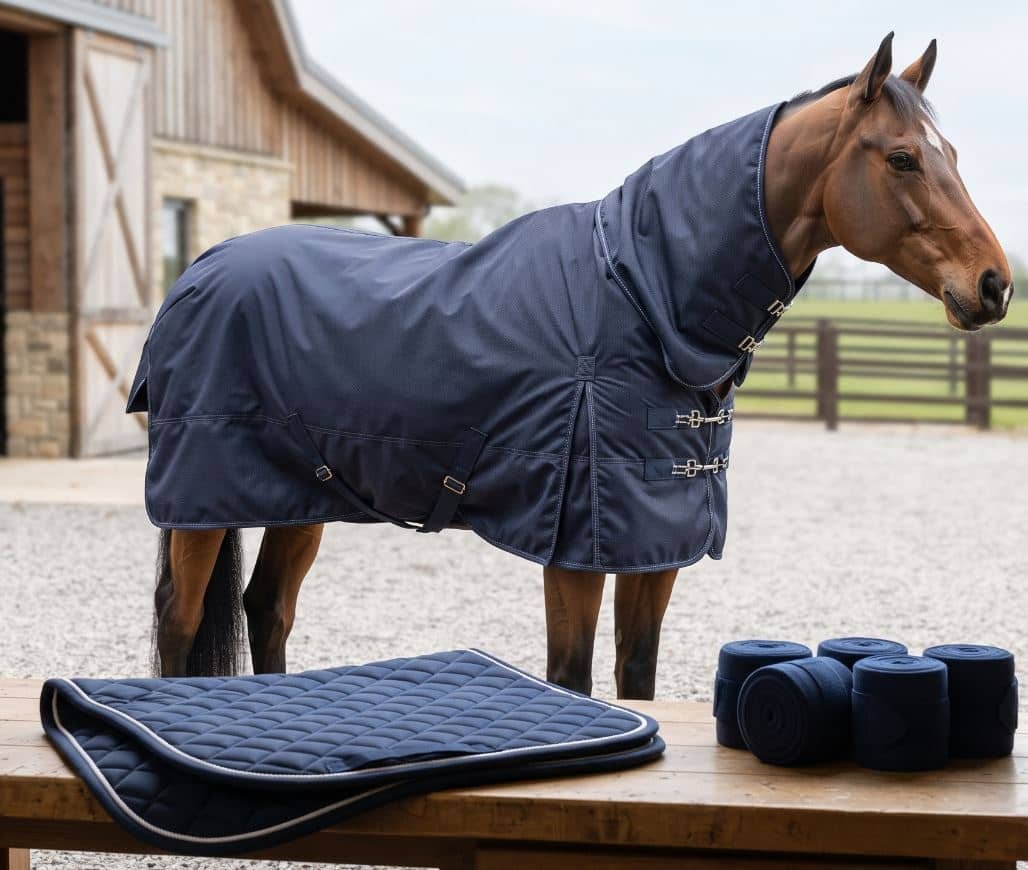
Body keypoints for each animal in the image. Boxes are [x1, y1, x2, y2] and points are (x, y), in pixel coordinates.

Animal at [144, 34, 1012, 697]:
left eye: (951, 153)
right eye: (902, 159)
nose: (995, 285)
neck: (641, 295)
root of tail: (200, 268)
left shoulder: (653, 549)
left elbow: (638, 677)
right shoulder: (575, 550)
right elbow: (573, 678)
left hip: (300, 497)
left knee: (267, 608)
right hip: (201, 501)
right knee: (182, 623)